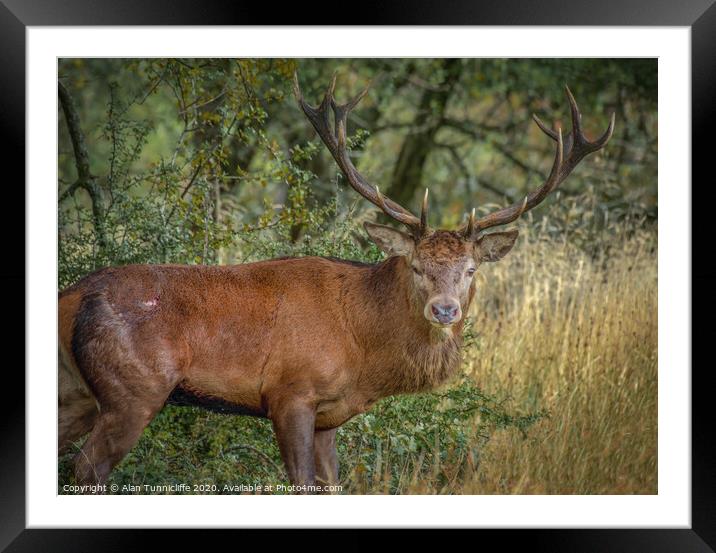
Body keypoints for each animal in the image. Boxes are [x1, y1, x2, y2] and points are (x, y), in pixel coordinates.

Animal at [58, 73, 612, 492]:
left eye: (471, 269)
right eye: (416, 265)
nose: (445, 310)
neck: (361, 348)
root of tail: (74, 295)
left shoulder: (329, 418)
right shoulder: (290, 393)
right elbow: (299, 482)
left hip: (78, 391)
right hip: (135, 387)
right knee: (86, 468)